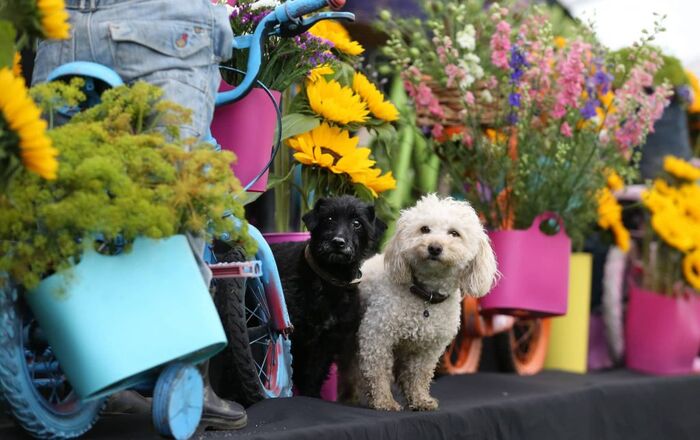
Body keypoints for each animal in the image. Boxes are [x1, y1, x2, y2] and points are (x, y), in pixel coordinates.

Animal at [270, 195, 388, 396]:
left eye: (357, 223)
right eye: (329, 218)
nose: (338, 242)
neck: (328, 282)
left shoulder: (327, 341)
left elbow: (313, 374)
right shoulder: (294, 334)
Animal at [356, 194, 498, 410]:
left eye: (454, 233)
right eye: (424, 229)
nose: (434, 247)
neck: (427, 298)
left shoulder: (429, 349)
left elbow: (419, 374)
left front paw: (420, 399)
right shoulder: (376, 336)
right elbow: (378, 371)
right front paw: (384, 401)